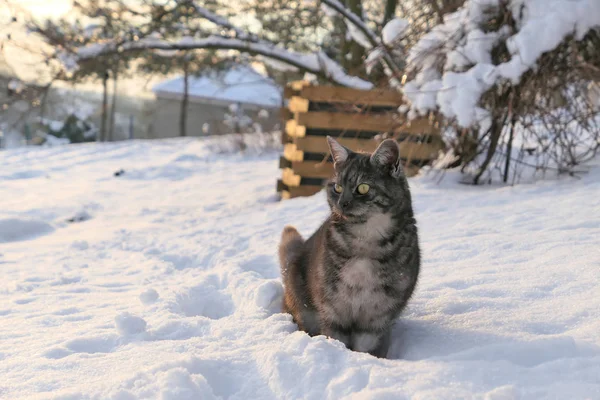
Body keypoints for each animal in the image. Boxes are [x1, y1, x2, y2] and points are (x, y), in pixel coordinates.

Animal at [278, 136, 420, 358]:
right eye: (336, 187)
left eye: (363, 188)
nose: (342, 203)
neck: (364, 240)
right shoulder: (333, 310)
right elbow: (336, 339)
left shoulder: (377, 319)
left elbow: (367, 348)